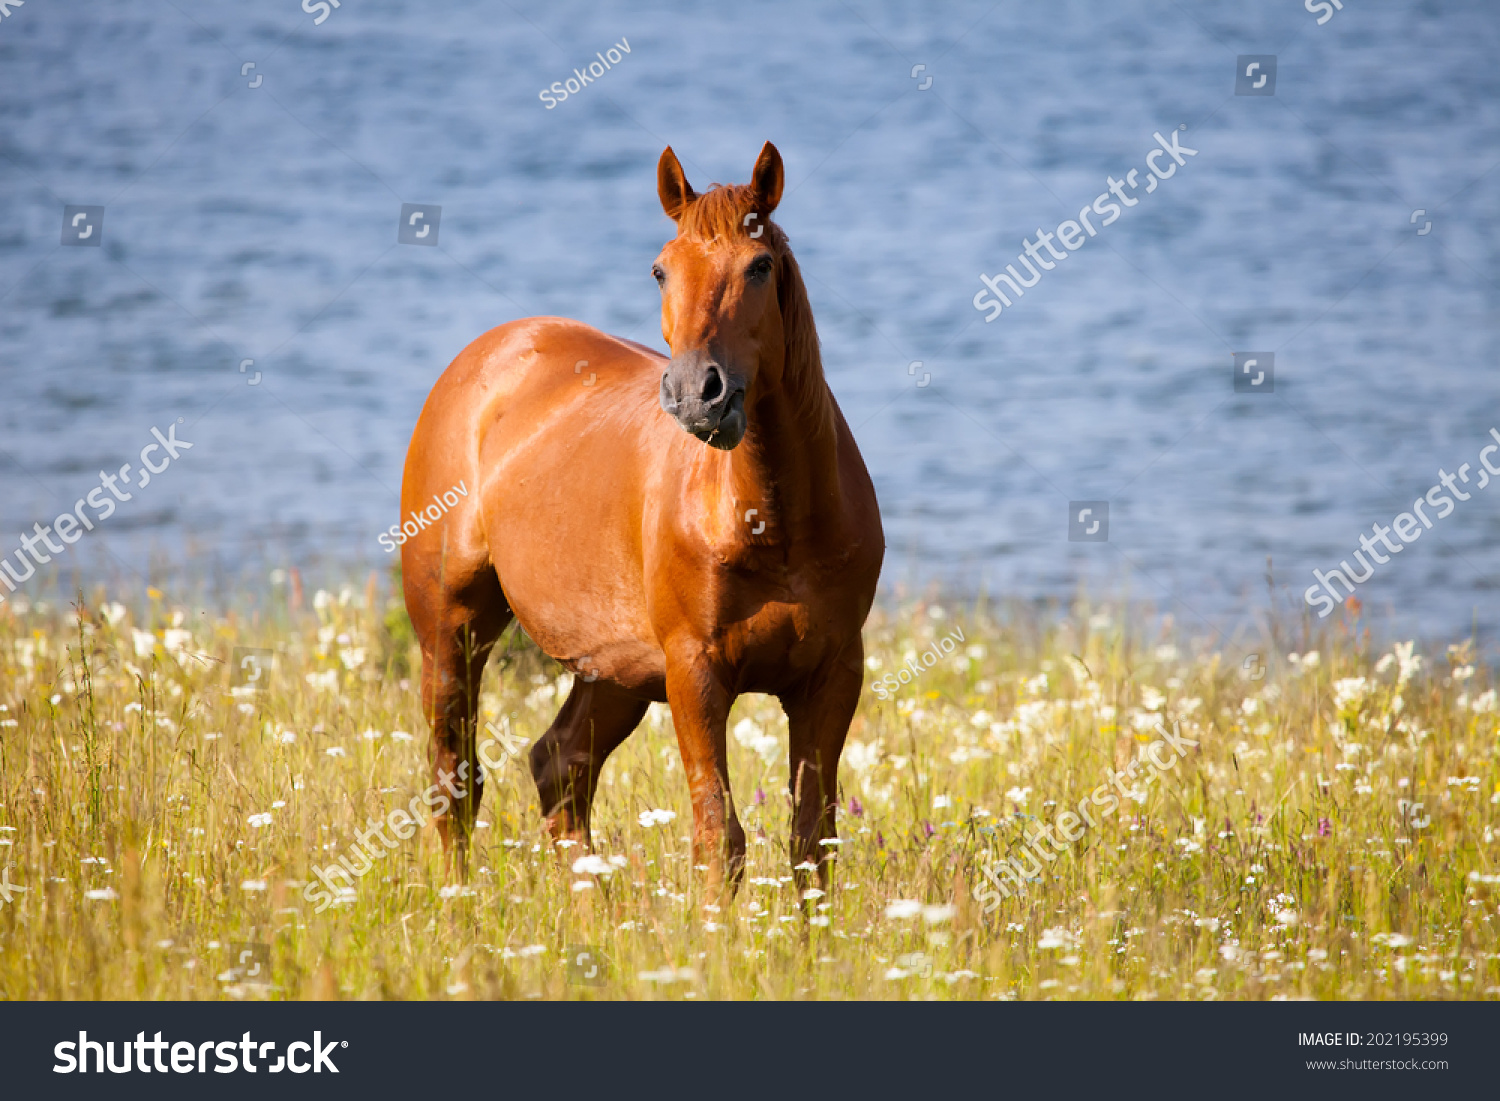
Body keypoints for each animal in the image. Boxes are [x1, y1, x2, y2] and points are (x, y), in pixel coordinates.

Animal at [402, 142, 888, 900]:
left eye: (759, 265)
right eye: (661, 268)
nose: (697, 394)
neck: (772, 523)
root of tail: (485, 356)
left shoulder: (831, 676)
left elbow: (812, 841)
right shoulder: (695, 673)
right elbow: (719, 838)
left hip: (615, 670)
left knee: (560, 767)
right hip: (452, 629)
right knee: (455, 784)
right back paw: (460, 909)